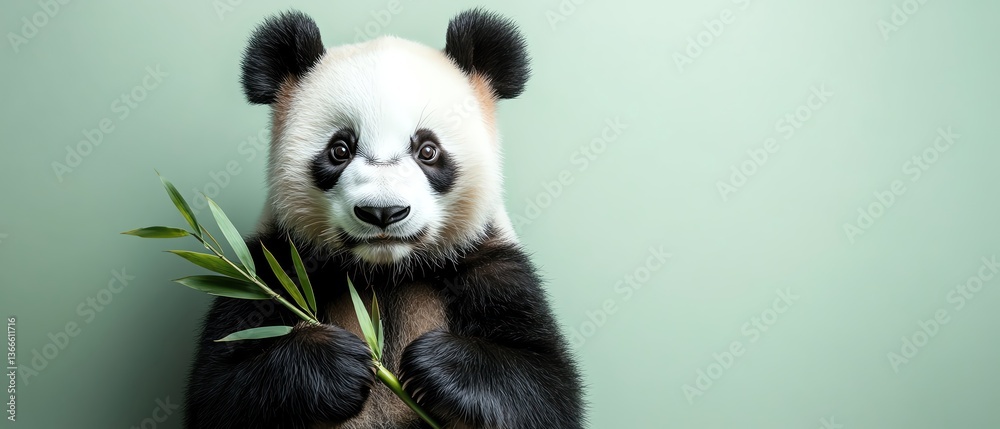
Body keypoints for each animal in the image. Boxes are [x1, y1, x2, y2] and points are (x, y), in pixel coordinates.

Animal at [183, 8, 584, 429]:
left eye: (428, 150)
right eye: (340, 149)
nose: (383, 212)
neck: (384, 272)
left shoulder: (490, 265)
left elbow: (545, 387)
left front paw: (433, 366)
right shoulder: (270, 265)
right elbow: (220, 389)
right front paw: (340, 363)